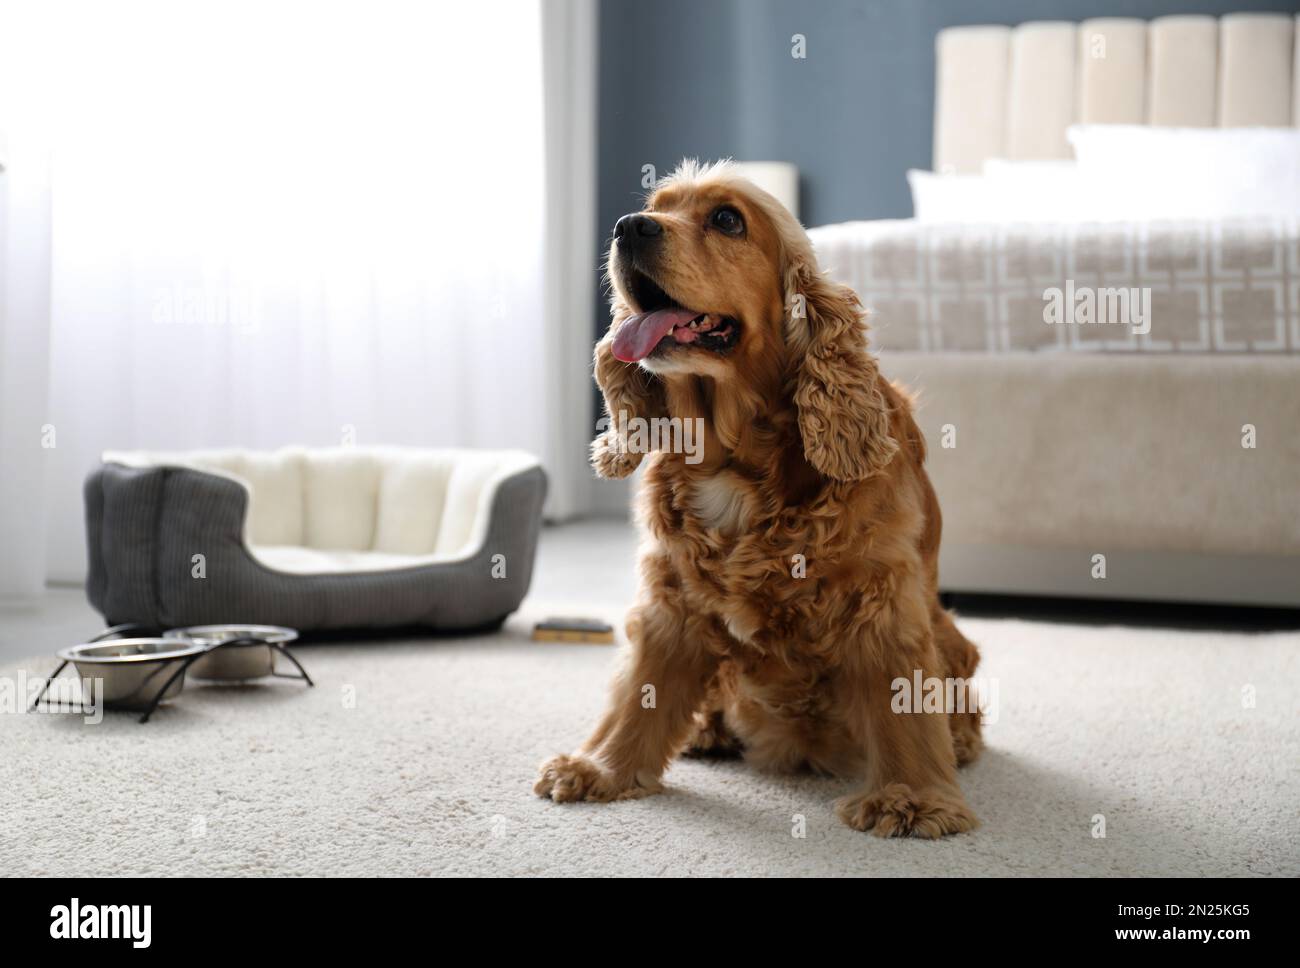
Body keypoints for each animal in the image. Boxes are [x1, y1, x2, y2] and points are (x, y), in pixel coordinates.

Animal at [533, 160, 977, 836]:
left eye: (727, 219)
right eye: (656, 207)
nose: (627, 226)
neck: (734, 462)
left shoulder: (882, 598)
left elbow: (898, 699)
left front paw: (910, 797)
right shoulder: (671, 597)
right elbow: (640, 691)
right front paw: (601, 767)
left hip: (953, 636)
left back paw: (959, 741)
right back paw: (706, 732)